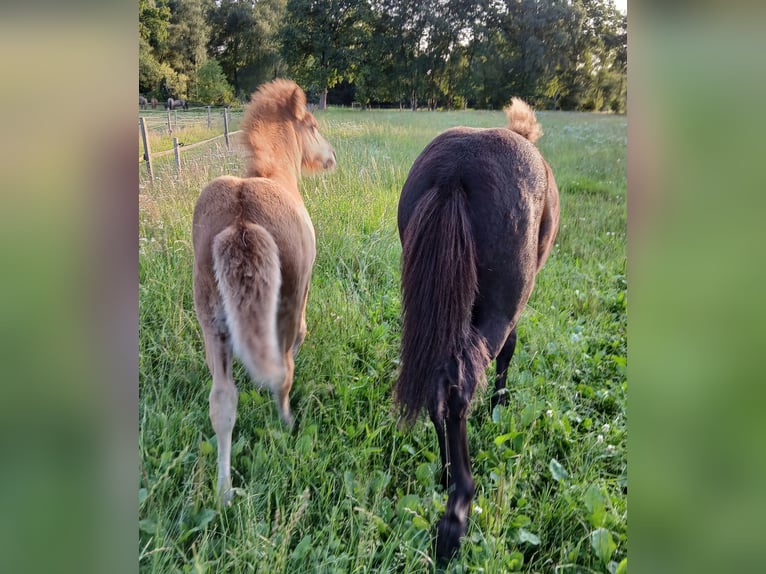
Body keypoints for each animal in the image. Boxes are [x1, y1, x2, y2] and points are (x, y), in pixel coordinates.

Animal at [192, 79, 336, 505]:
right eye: (312, 125)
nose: (330, 158)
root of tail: (242, 220)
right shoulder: (302, 293)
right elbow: (300, 337)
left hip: (211, 319)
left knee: (222, 400)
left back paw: (224, 490)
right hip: (284, 305)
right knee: (283, 371)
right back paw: (287, 422)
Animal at [395, 98, 560, 561]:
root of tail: (456, 171)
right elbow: (510, 351)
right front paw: (500, 402)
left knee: (438, 383)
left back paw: (446, 474)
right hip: (500, 309)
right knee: (458, 385)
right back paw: (456, 515)